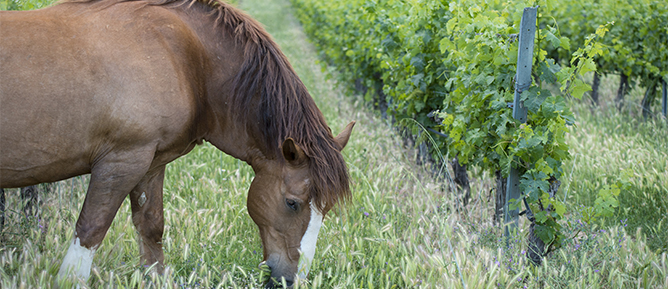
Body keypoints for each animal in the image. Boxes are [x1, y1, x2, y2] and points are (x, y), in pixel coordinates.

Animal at [0, 0, 354, 284]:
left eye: (326, 209)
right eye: (293, 203)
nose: (291, 280)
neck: (185, 57)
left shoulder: (150, 164)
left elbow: (151, 227)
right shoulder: (121, 161)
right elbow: (90, 230)